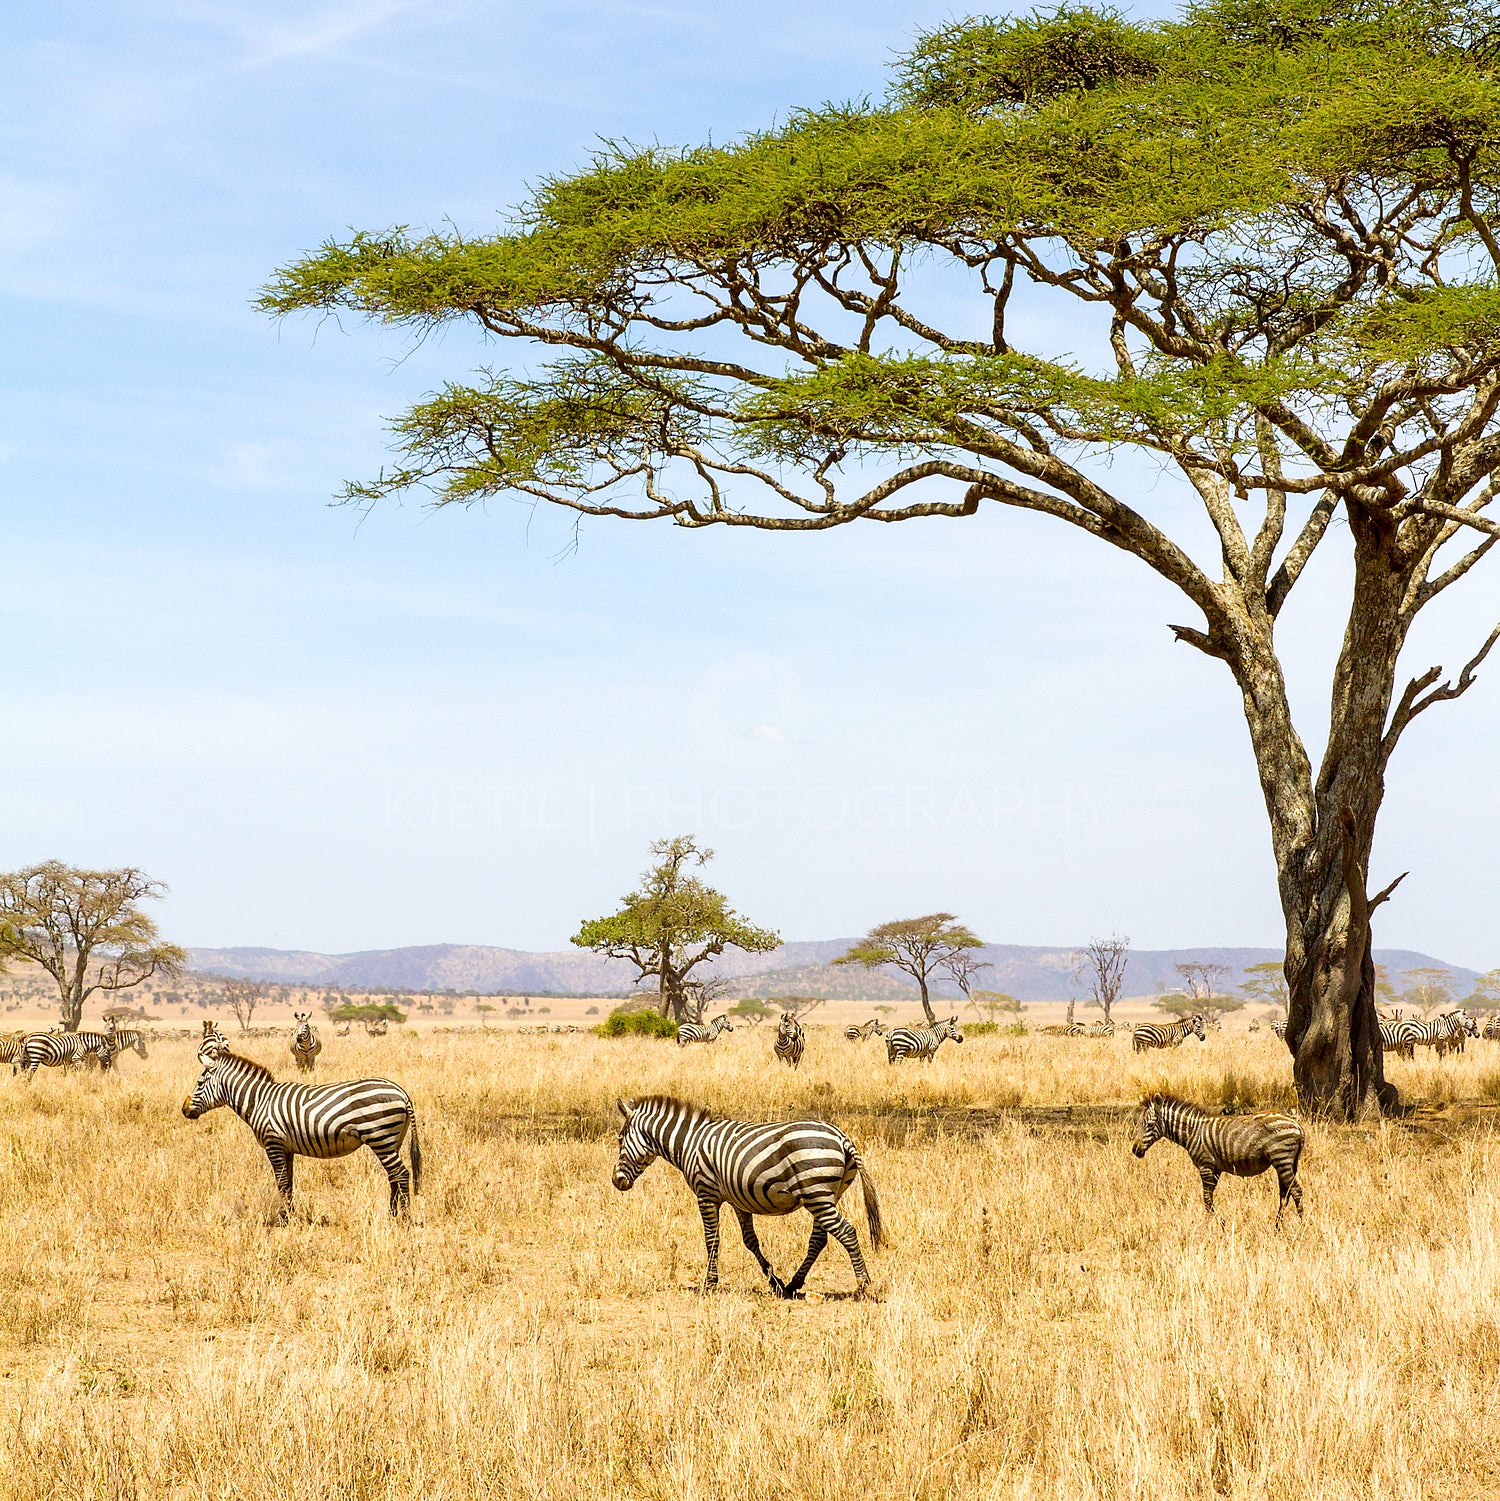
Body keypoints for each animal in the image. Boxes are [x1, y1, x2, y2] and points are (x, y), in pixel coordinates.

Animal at [186, 1044, 426, 1218]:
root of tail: (401, 1092)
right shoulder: (287, 1148)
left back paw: (403, 1218)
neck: (260, 1101)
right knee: (393, 1176)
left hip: (380, 1137)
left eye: (199, 1083)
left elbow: (282, 1182)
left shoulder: (273, 1143)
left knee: (401, 1174)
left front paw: (283, 1218)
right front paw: (291, 1214)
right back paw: (392, 1214)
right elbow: (289, 1183)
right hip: (393, 1140)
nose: (184, 1110)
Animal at [615, 1098, 882, 1296]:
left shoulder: (706, 1193)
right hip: (825, 1196)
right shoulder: (738, 1199)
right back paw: (793, 1285)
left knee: (847, 1232)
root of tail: (842, 1138)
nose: (616, 1182)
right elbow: (750, 1241)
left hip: (816, 1193)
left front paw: (709, 1284)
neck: (689, 1143)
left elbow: (712, 1240)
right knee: (819, 1240)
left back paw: (864, 1285)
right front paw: (775, 1282)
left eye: (619, 1140)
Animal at [1129, 1098, 1309, 1224]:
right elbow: (1210, 1198)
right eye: (1138, 1124)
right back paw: (1277, 1227)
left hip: (1281, 1158)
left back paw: (1302, 1225)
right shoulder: (1215, 1169)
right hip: (1286, 1162)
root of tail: (1297, 1125)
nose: (1135, 1150)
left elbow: (1207, 1199)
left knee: (1296, 1191)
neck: (1192, 1132)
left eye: (1150, 1125)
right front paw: (1218, 1223)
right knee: (1285, 1194)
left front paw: (1211, 1225)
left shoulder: (1205, 1166)